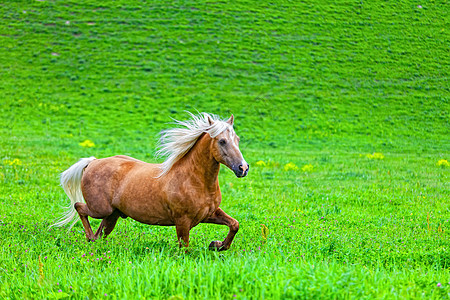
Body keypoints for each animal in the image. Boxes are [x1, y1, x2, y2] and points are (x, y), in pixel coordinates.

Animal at [53, 112, 250, 251]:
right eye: (222, 141)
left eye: (238, 139)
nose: (243, 168)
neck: (194, 180)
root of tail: (93, 162)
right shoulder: (183, 221)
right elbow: (184, 249)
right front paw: (215, 245)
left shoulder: (209, 213)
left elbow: (234, 224)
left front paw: (217, 245)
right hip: (100, 209)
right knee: (79, 207)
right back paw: (88, 238)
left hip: (112, 215)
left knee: (100, 233)